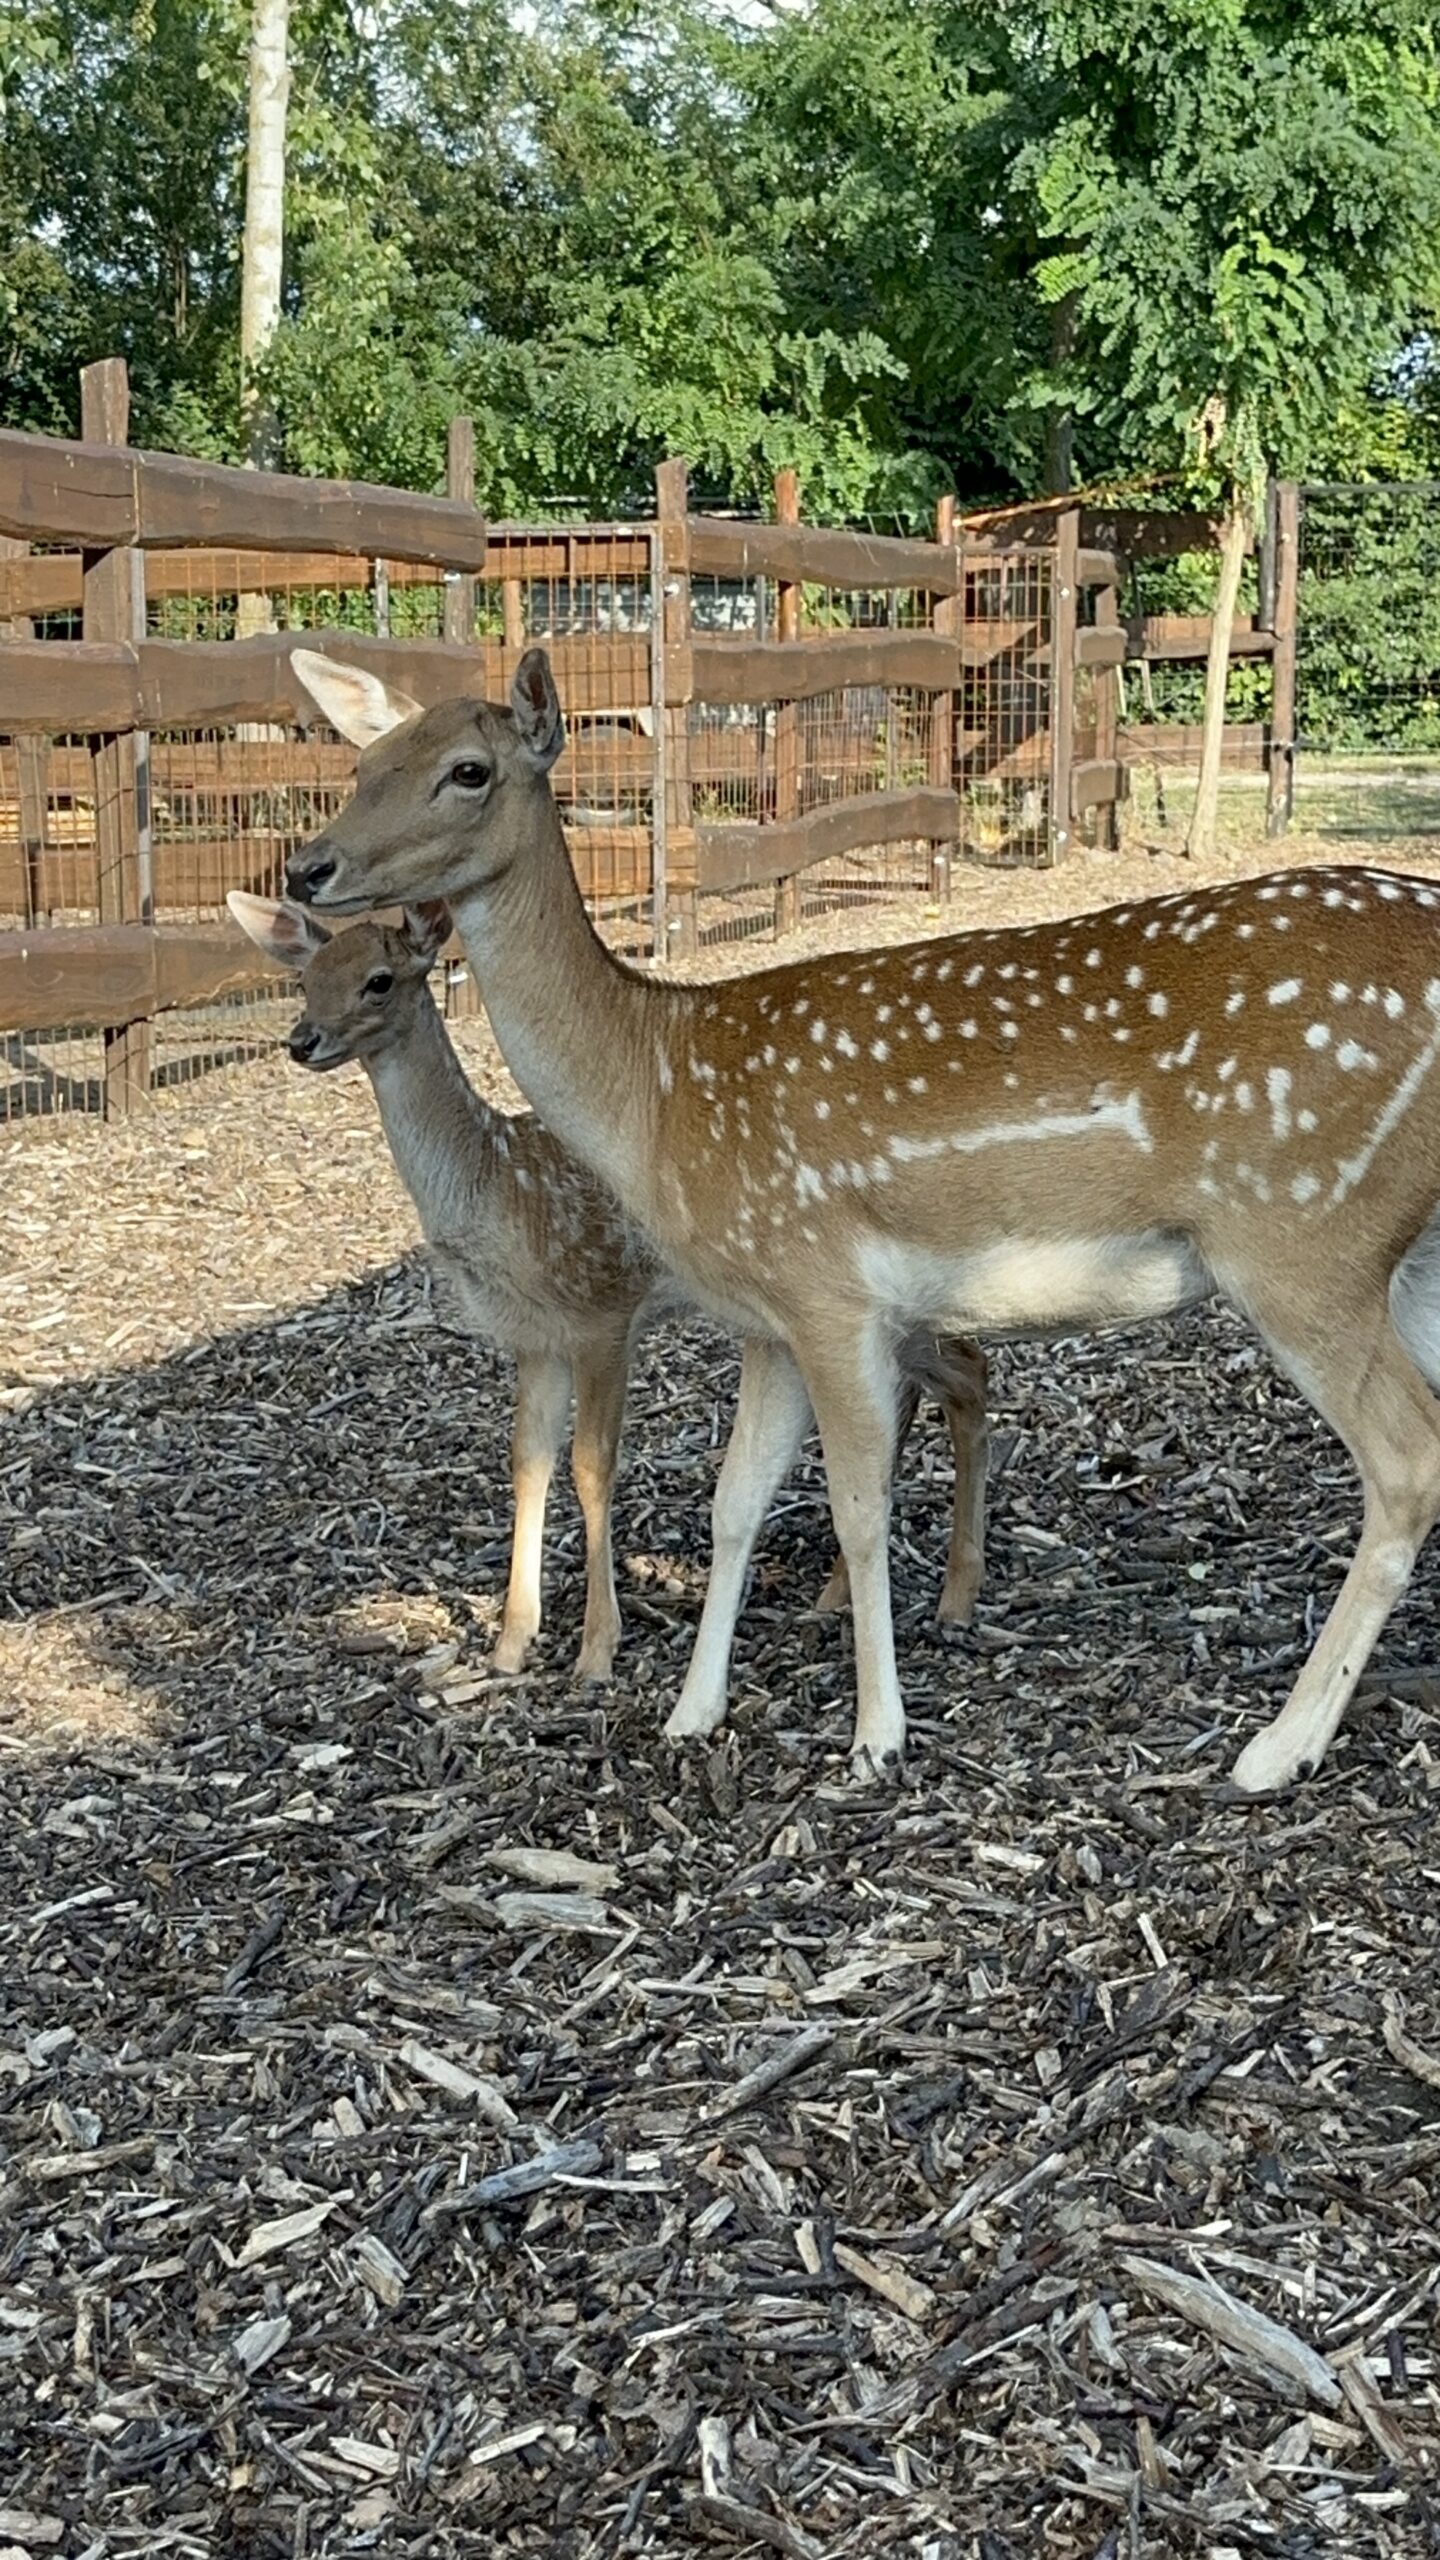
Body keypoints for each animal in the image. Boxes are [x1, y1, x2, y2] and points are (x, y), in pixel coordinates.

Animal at [227, 882, 990, 1702]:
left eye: (378, 979)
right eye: (305, 979)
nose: (302, 1040)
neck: (502, 1198)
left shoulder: (602, 1310)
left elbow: (593, 1467)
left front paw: (597, 1649)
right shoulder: (531, 1340)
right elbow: (526, 1462)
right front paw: (511, 1643)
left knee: (962, 1372)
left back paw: (947, 1597)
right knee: (950, 1377)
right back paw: (859, 1593)